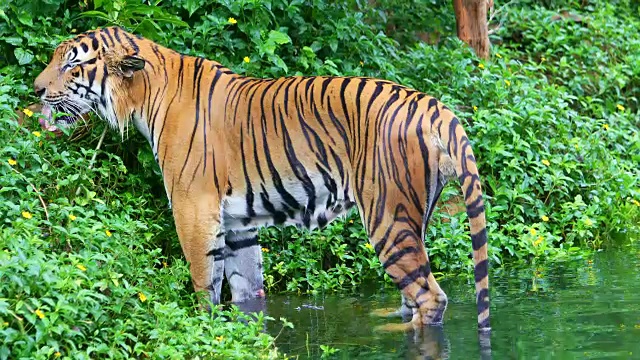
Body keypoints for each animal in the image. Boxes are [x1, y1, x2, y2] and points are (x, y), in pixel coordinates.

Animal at [33, 26, 490, 332]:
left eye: (72, 64)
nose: (36, 89)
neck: (144, 95)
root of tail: (434, 106)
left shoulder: (194, 210)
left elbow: (204, 285)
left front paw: (204, 330)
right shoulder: (237, 224)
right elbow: (247, 291)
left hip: (387, 216)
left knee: (431, 298)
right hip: (414, 218)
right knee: (414, 293)